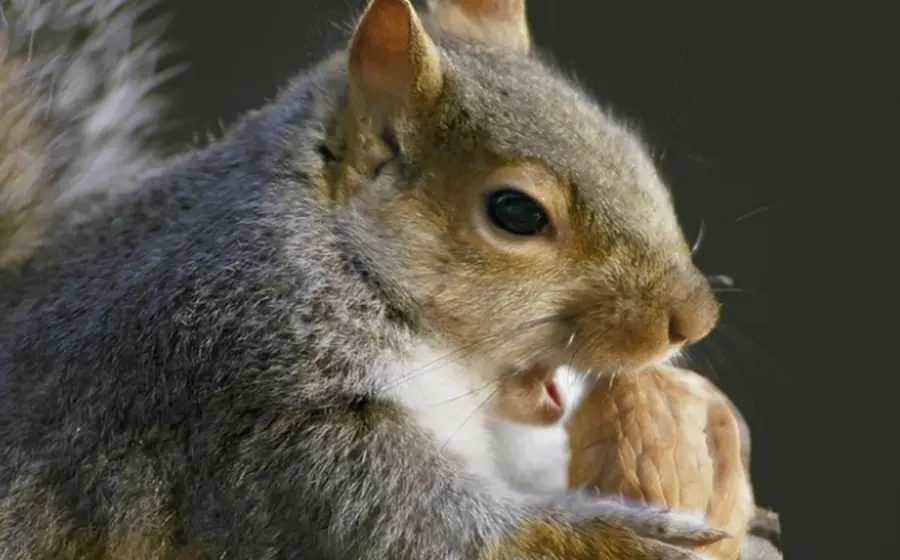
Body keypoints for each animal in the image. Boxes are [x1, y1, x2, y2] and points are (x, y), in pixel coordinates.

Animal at [0, 0, 737, 558]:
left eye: (631, 151)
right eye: (517, 212)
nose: (695, 318)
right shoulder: (250, 412)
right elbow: (406, 526)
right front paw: (616, 538)